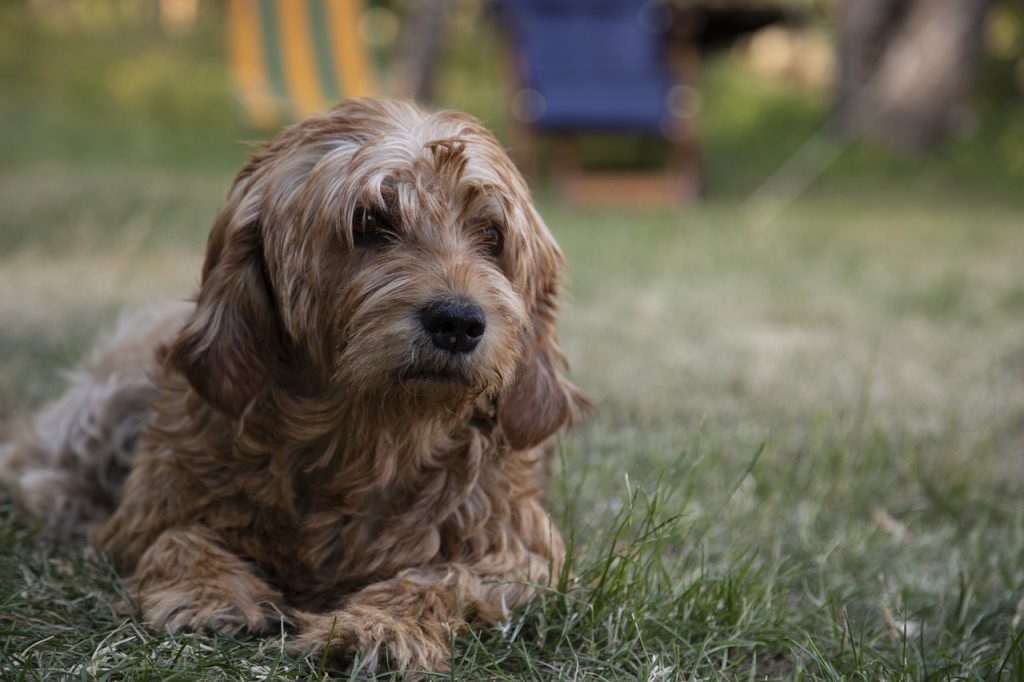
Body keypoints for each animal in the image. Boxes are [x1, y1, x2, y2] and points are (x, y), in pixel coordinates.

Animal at [0, 96, 589, 675]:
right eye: (369, 220)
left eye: (492, 235)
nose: (459, 322)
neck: (370, 439)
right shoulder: (148, 510)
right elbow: (174, 536)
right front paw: (209, 592)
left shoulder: (523, 551)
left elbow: (446, 576)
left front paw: (380, 626)